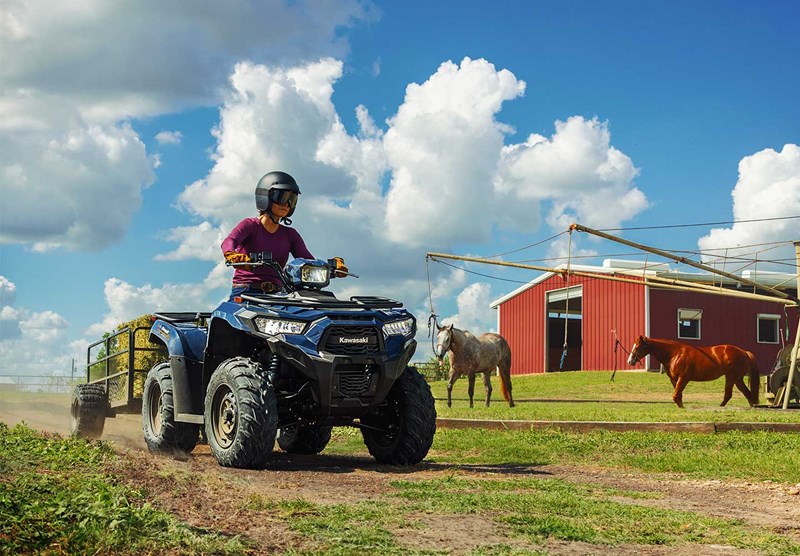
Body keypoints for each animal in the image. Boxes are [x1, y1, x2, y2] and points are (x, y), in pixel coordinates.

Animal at [628, 334, 760, 408]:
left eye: (638, 347)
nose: (630, 361)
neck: (675, 353)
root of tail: (744, 352)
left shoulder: (683, 378)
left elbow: (676, 395)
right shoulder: (674, 380)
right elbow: (678, 395)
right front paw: (681, 407)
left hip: (731, 377)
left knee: (729, 394)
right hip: (737, 379)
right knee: (747, 393)